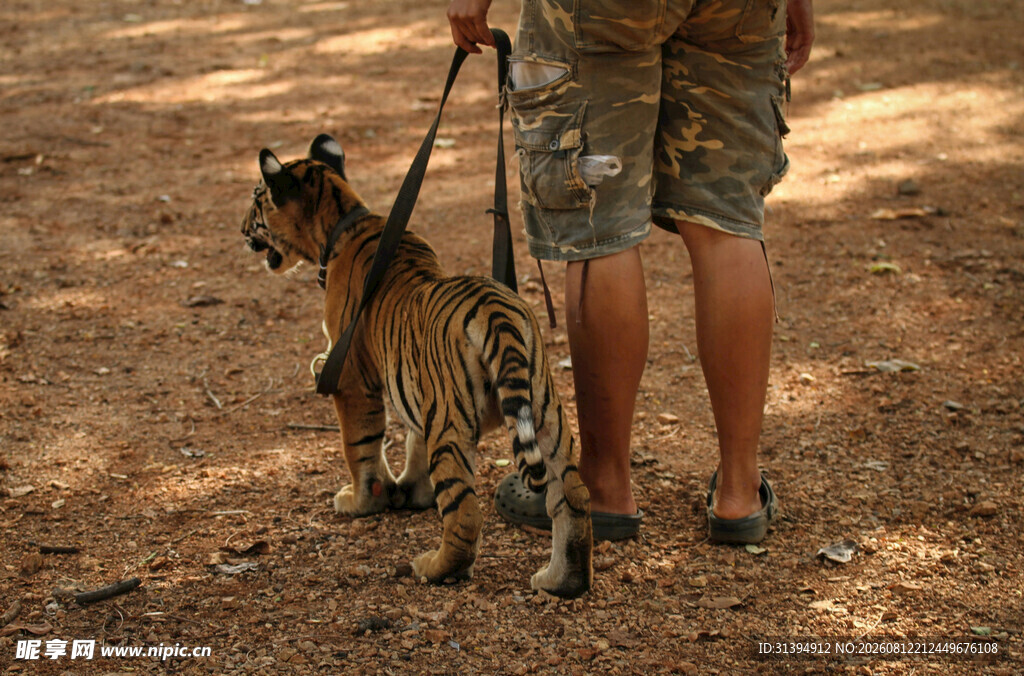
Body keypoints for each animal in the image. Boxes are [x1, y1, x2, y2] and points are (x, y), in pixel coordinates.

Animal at [239, 134, 592, 598]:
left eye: (257, 199)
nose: (241, 230)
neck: (342, 219)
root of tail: (496, 312)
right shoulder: (412, 386)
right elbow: (411, 440)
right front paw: (410, 492)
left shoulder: (350, 379)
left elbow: (360, 447)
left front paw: (362, 501)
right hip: (545, 411)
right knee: (572, 495)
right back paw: (563, 580)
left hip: (451, 425)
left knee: (464, 513)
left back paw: (434, 568)